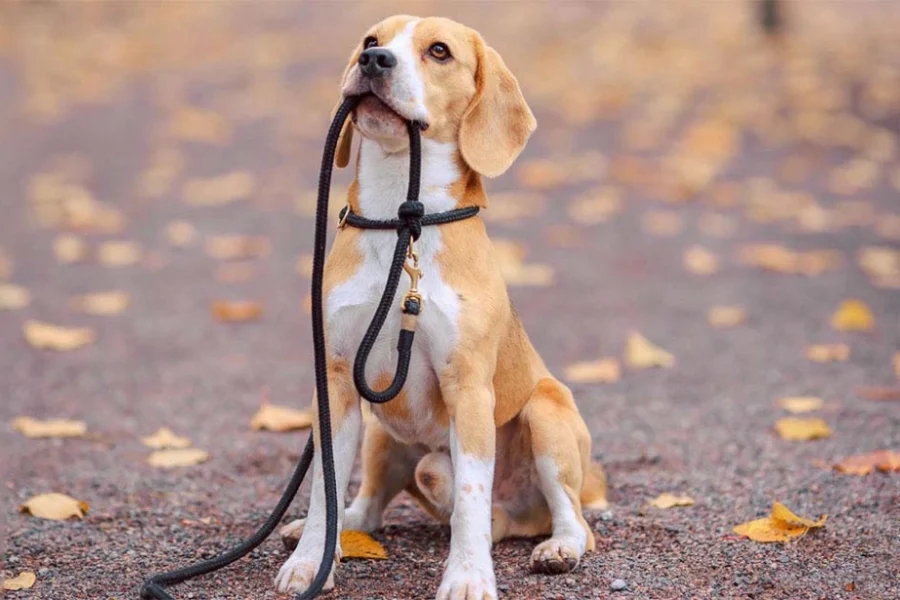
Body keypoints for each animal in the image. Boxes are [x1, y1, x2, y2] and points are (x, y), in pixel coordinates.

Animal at [276, 15, 604, 600]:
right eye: (371, 41)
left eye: (439, 51)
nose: (375, 61)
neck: (401, 223)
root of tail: (519, 518)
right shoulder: (334, 381)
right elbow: (323, 490)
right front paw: (313, 561)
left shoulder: (468, 387)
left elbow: (471, 496)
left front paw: (469, 576)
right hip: (381, 435)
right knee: (372, 506)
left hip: (547, 415)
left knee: (565, 518)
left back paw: (557, 547)